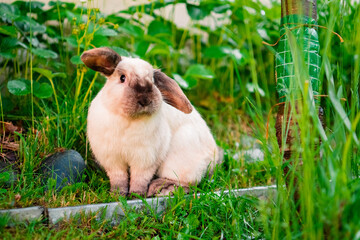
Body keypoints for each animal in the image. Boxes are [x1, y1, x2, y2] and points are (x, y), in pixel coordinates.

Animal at [81, 47, 222, 197]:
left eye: (153, 81)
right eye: (122, 78)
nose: (145, 99)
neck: (129, 120)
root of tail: (214, 159)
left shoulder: (145, 159)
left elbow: (140, 179)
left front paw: (136, 195)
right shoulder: (113, 160)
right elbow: (119, 178)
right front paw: (117, 194)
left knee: (186, 183)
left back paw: (161, 188)